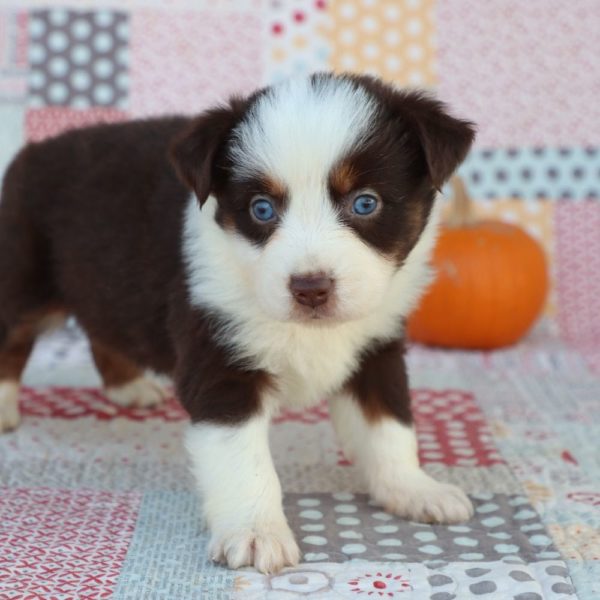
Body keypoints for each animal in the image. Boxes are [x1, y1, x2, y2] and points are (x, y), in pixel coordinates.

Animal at [2, 74, 476, 572]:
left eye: (366, 203)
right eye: (261, 209)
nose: (310, 288)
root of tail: (30, 151)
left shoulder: (377, 348)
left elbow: (389, 427)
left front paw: (414, 490)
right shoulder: (220, 357)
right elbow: (243, 462)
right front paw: (255, 534)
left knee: (102, 326)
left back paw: (128, 387)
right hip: (24, 275)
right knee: (11, 337)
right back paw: (4, 408)